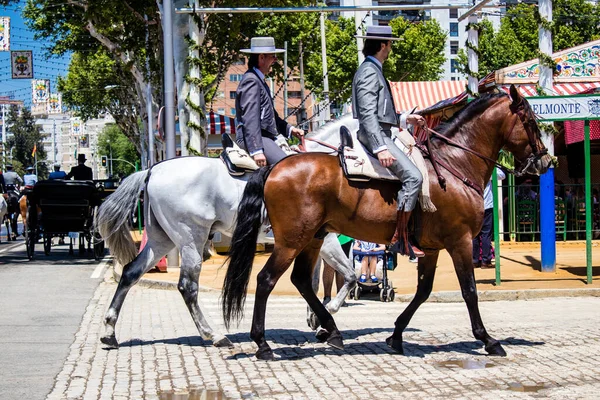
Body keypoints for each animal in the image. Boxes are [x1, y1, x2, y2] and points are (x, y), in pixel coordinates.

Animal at [94, 115, 356, 346]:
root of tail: (152, 170)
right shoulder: (327, 242)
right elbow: (349, 276)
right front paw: (328, 313)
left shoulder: (314, 243)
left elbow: (313, 281)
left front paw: (316, 319)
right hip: (191, 239)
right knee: (187, 286)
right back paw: (214, 335)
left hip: (162, 240)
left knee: (131, 272)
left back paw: (109, 332)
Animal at [224, 86, 552, 360]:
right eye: (531, 122)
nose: (545, 161)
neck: (454, 165)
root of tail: (275, 168)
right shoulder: (459, 242)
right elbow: (469, 291)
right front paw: (488, 340)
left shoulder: (430, 249)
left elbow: (423, 291)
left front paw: (395, 335)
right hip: (292, 241)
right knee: (266, 280)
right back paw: (263, 344)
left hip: (313, 238)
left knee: (302, 281)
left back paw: (332, 330)